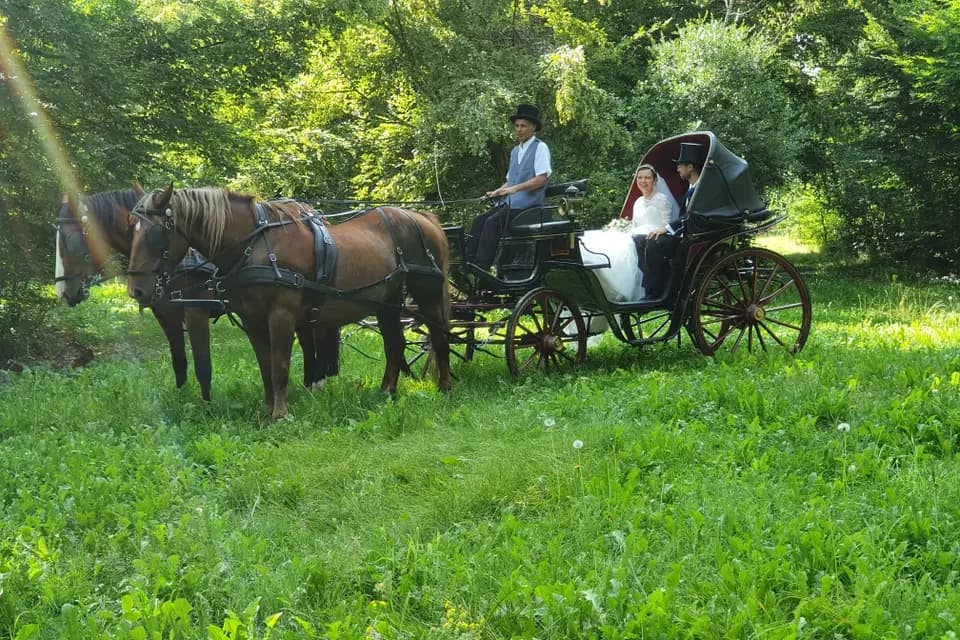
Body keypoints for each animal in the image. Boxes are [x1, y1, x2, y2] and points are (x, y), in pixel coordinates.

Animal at [125, 186, 451, 419]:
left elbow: (280, 363)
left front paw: (280, 414)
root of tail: (425, 219)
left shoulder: (281, 315)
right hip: (387, 301)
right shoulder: (252, 319)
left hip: (428, 295)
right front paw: (269, 406)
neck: (253, 246)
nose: (136, 291)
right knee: (395, 343)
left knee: (439, 337)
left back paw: (445, 388)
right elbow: (265, 365)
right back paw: (386, 392)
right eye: (133, 230)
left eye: (156, 233)